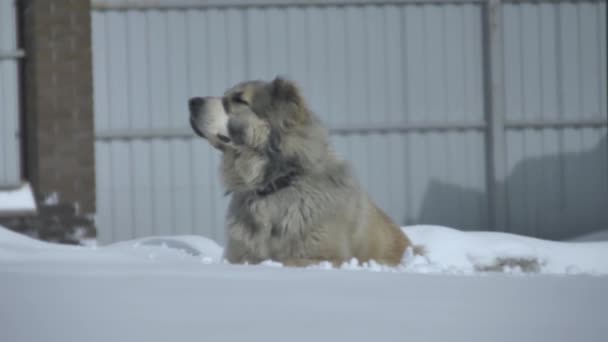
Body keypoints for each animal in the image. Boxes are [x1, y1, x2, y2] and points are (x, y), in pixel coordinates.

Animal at [188, 77, 414, 268]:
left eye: (239, 100)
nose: (191, 101)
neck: (277, 183)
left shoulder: (325, 256)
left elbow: (288, 261)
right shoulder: (239, 255)